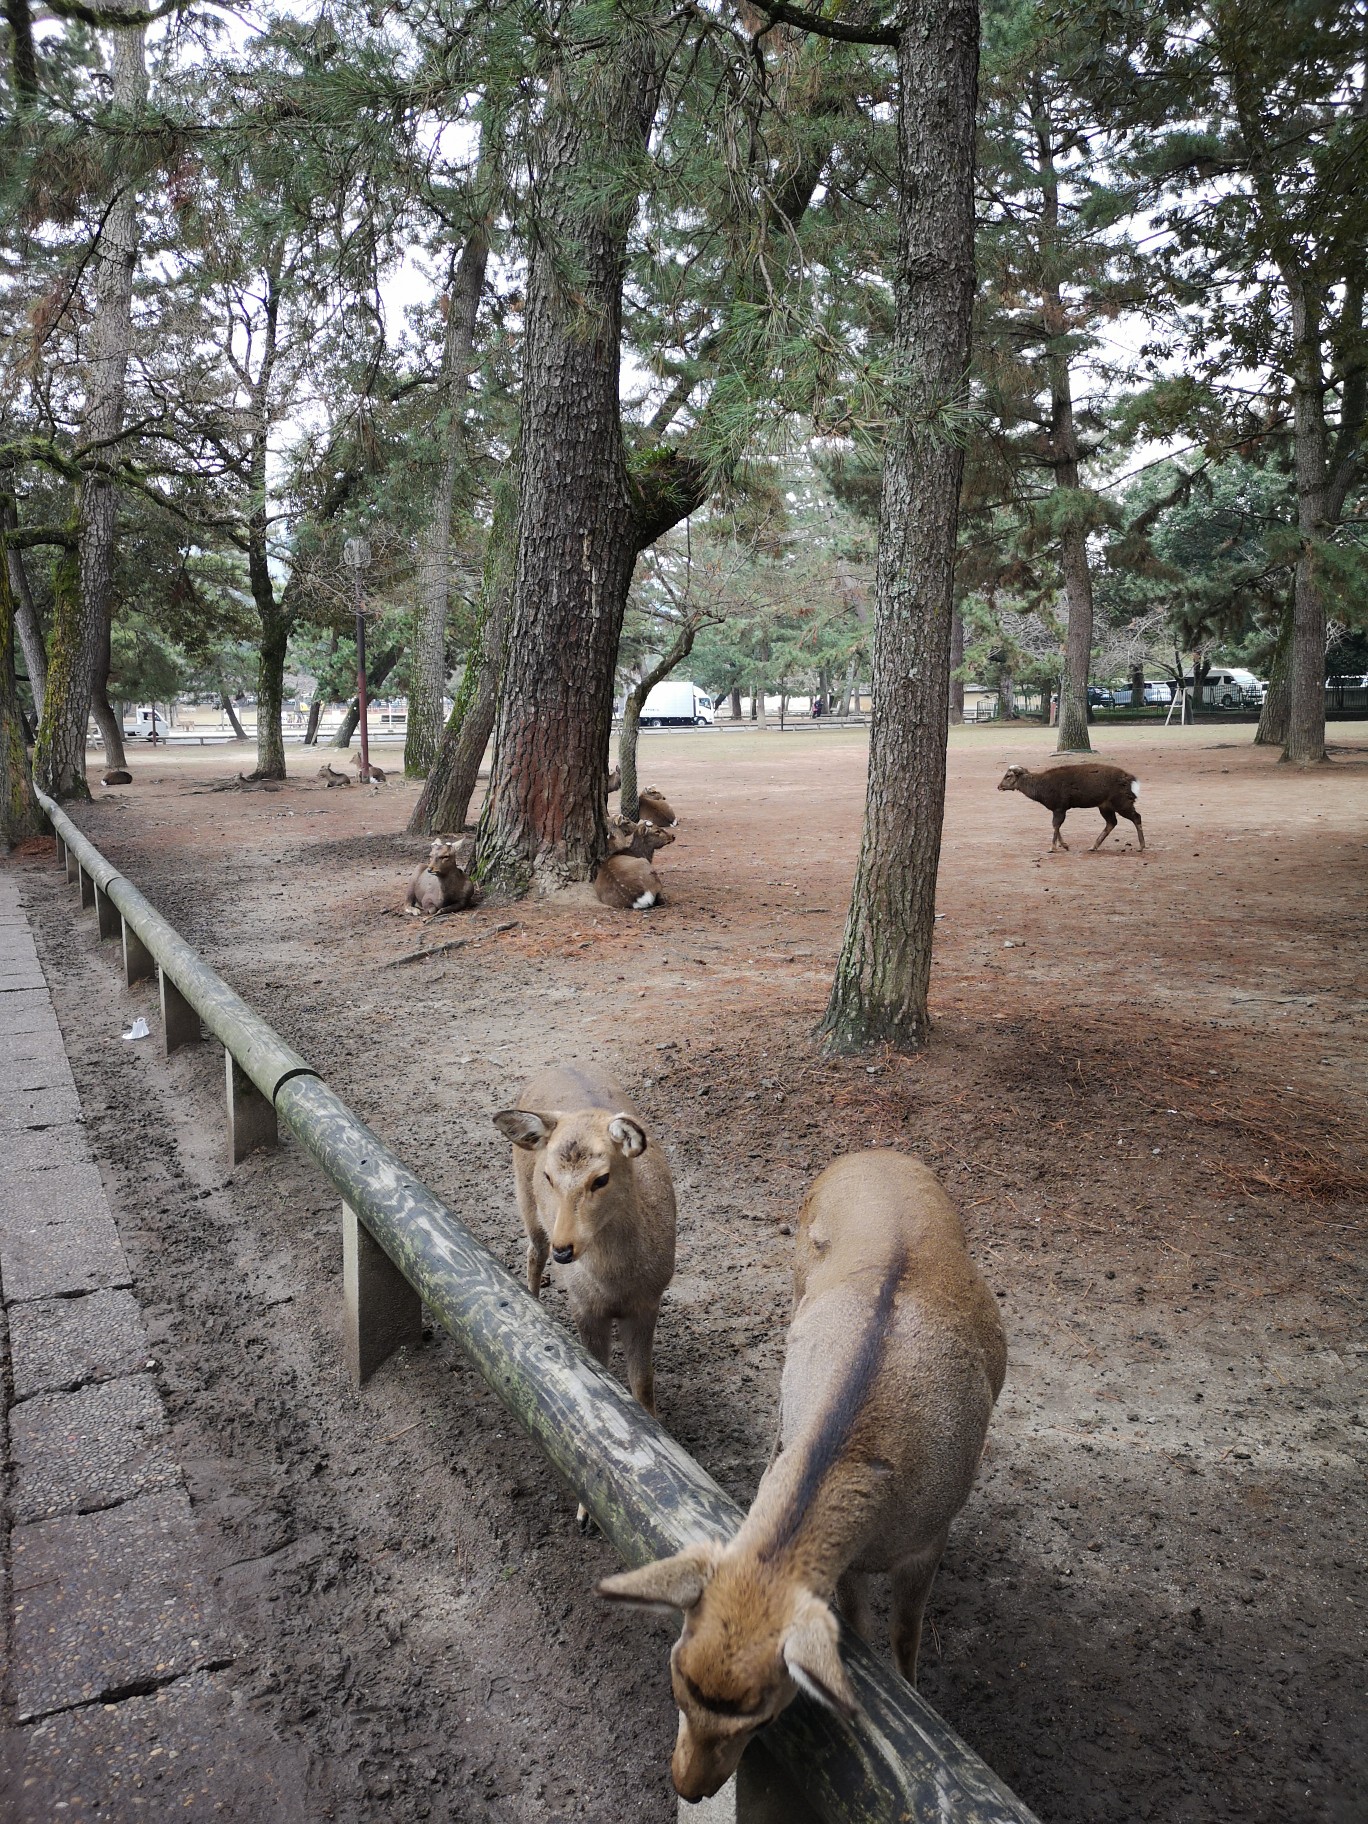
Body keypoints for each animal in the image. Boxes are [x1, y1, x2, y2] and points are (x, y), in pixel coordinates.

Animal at [499, 1065, 682, 1444]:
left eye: (601, 1179)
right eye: (548, 1176)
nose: (564, 1249)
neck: (617, 1285)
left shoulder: (648, 1303)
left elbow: (643, 1382)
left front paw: (656, 1427)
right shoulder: (583, 1305)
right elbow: (604, 1374)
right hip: (526, 1203)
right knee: (532, 1251)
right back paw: (532, 1300)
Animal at [598, 1145, 1006, 1802]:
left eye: (763, 1716)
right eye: (674, 1680)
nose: (687, 1785)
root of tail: (876, 1152)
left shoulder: (930, 1537)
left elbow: (905, 1635)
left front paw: (915, 1696)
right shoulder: (849, 1565)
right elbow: (858, 1625)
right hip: (795, 1284)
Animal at [999, 758, 1145, 849]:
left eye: (1008, 776)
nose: (999, 786)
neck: (1041, 791)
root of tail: (1131, 779)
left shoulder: (1059, 806)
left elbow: (1056, 825)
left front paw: (1054, 847)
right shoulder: (1059, 808)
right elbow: (1056, 825)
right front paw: (1064, 845)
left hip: (1122, 801)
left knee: (1136, 817)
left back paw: (1142, 846)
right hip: (1105, 806)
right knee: (1112, 822)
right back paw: (1093, 846)